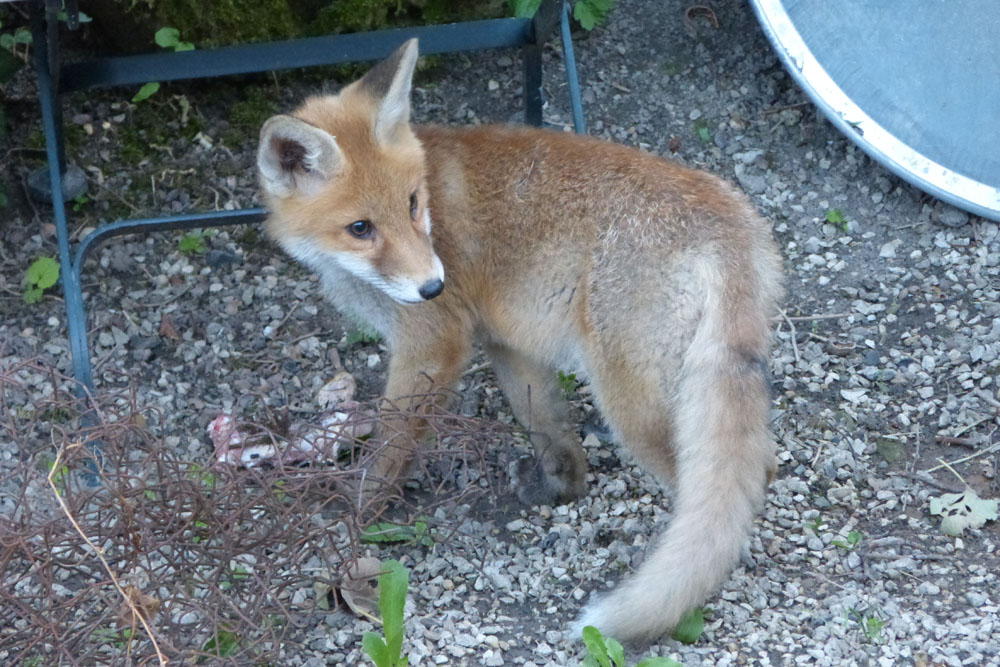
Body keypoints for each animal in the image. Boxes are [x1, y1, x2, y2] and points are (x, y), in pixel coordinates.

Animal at [254, 40, 784, 640]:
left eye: (412, 204)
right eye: (360, 228)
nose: (433, 286)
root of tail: (729, 225)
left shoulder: (433, 343)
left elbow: (389, 450)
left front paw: (355, 515)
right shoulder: (507, 342)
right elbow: (547, 424)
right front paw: (561, 488)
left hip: (635, 403)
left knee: (720, 491)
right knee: (758, 464)